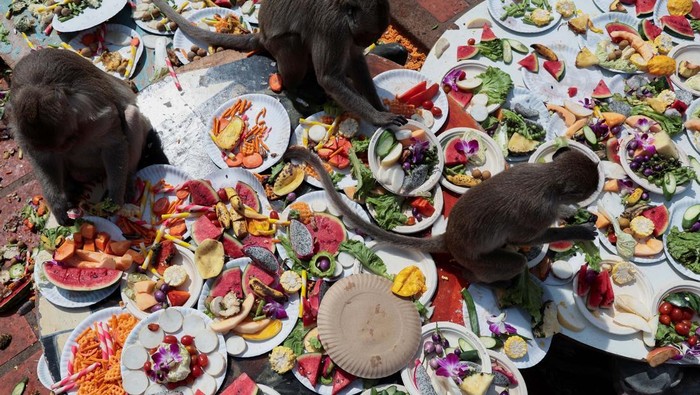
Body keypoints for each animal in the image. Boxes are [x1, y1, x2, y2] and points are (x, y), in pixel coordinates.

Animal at [8, 48, 152, 226]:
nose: (66, 146)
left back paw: (129, 179)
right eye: (64, 143)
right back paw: (71, 188)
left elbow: (113, 143)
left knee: (131, 114)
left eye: (68, 140)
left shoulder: (94, 112)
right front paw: (58, 205)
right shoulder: (22, 132)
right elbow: (42, 159)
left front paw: (114, 200)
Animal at [150, 0, 408, 127]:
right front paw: (379, 118)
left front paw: (379, 107)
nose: (361, 42)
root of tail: (261, 34)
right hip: (276, 44)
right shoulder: (334, 27)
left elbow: (355, 60)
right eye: (365, 35)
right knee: (293, 43)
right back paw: (295, 88)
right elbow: (330, 78)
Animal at [286, 146, 600, 284]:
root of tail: (448, 239)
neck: (549, 178)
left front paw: (573, 213)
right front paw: (579, 230)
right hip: (477, 260)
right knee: (514, 260)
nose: (597, 190)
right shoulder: (537, 211)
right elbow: (528, 237)